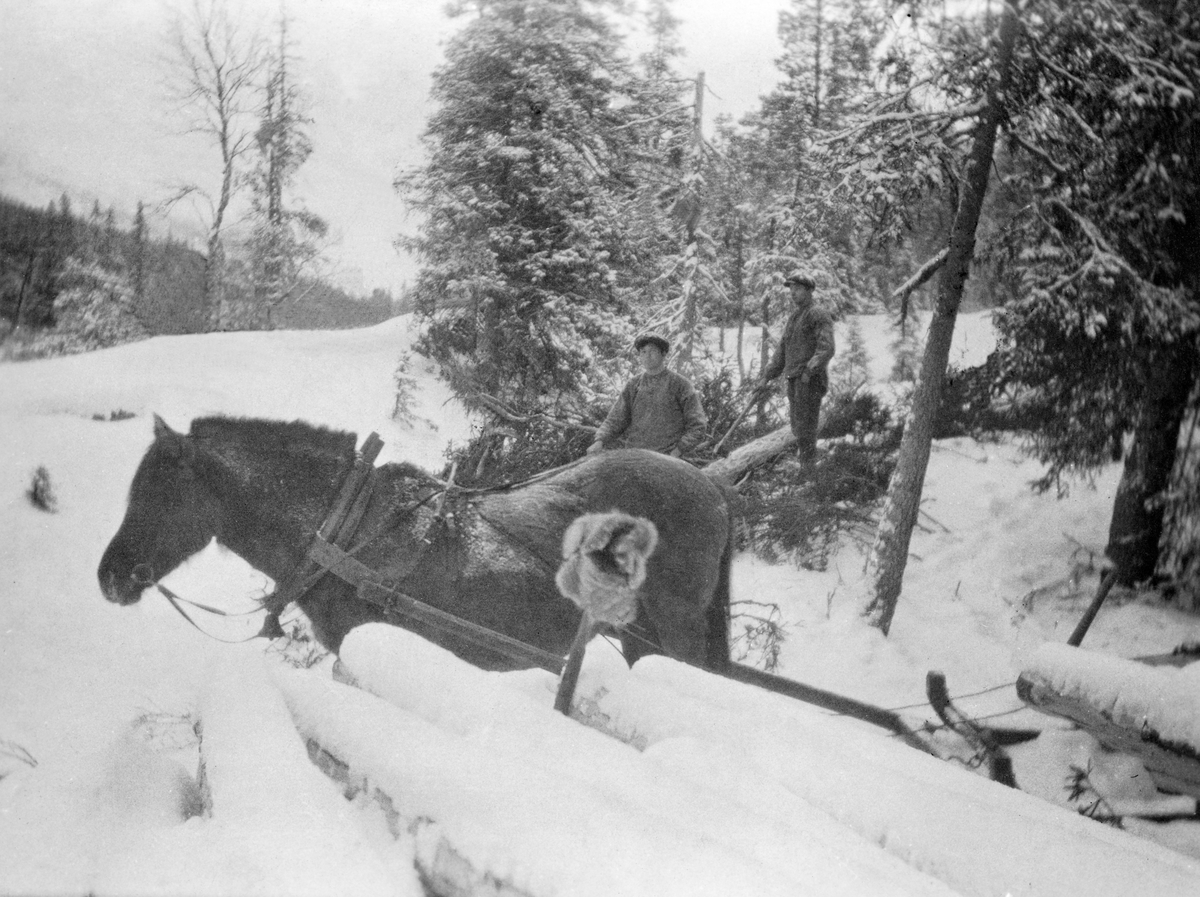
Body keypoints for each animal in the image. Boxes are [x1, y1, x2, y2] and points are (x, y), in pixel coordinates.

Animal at [98, 417, 734, 671]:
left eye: (160, 495)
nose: (109, 576)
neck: (347, 524)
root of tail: (713, 488)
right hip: (637, 634)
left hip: (672, 630)